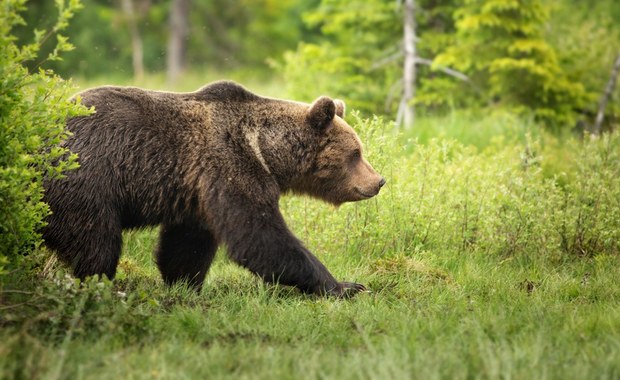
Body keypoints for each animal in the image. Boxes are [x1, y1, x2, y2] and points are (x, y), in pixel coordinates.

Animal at [42, 81, 382, 296]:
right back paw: (99, 286)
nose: (378, 181)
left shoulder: (197, 191)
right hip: (85, 182)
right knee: (97, 243)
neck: (266, 150)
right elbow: (258, 235)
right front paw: (345, 286)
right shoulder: (230, 166)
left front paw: (185, 284)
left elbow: (187, 244)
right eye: (355, 153)